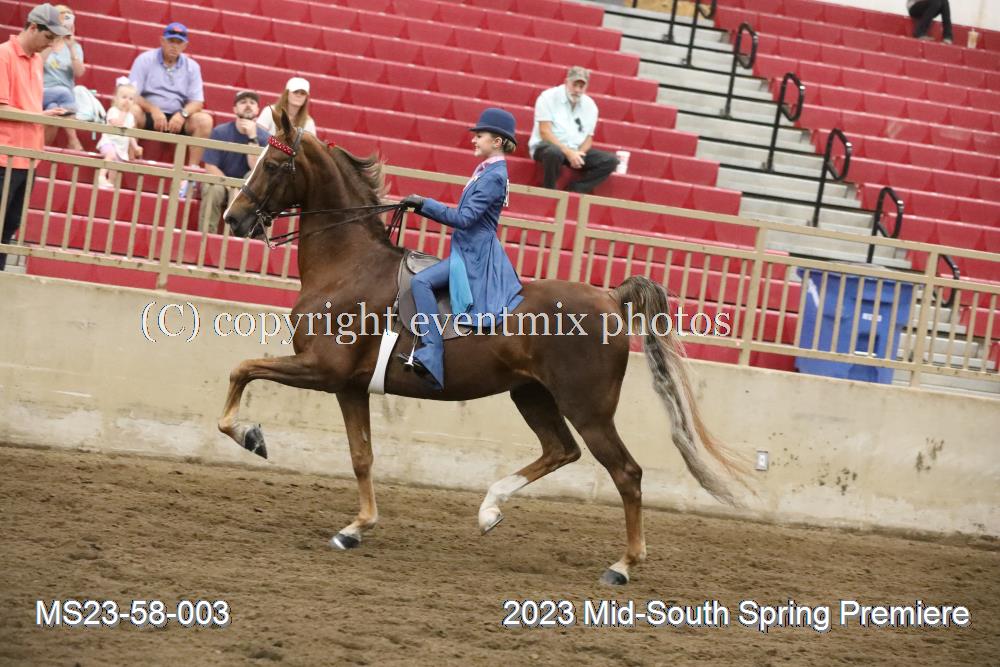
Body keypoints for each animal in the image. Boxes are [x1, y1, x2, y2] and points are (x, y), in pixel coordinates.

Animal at [219, 111, 743, 585]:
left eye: (272, 164)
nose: (233, 218)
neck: (349, 265)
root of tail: (610, 297)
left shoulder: (321, 369)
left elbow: (241, 370)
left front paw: (250, 436)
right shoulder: (349, 387)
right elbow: (361, 456)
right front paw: (356, 527)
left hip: (588, 407)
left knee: (627, 473)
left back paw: (623, 565)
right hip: (531, 395)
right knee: (561, 450)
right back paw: (490, 509)